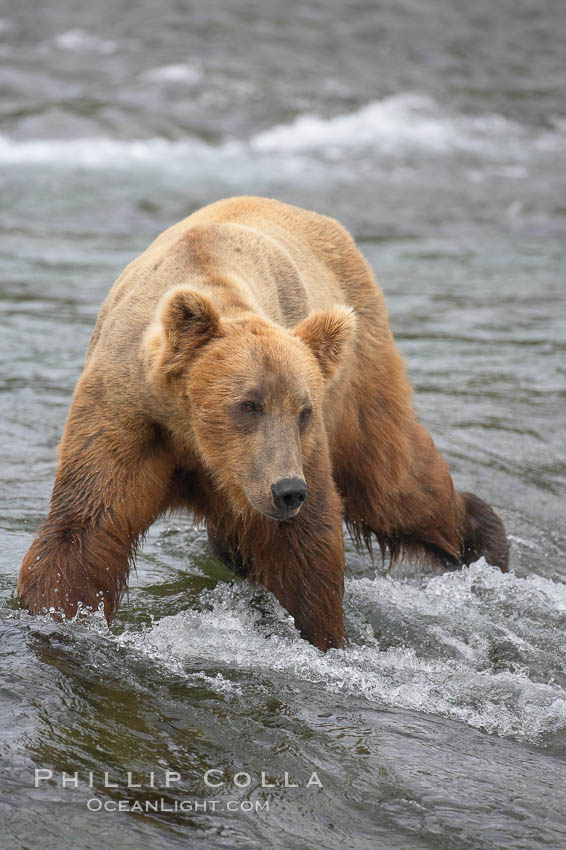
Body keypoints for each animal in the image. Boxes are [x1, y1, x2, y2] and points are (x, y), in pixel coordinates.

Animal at [17, 197, 510, 648]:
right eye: (248, 404)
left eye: (303, 410)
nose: (287, 490)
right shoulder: (129, 416)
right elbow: (85, 525)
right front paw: (58, 615)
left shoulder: (297, 450)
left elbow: (304, 551)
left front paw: (322, 635)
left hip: (359, 377)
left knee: (392, 486)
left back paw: (487, 544)